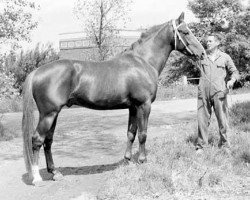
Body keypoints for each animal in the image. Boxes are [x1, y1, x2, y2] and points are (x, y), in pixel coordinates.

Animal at [22, 12, 205, 184]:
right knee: (37, 139)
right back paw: (37, 177)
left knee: (48, 141)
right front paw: (142, 160)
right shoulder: (144, 105)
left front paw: (127, 160)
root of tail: (37, 72)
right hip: (48, 114)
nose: (202, 53)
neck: (143, 62)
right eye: (185, 32)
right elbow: (143, 134)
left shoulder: (133, 107)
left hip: (54, 114)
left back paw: (55, 172)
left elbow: (131, 133)